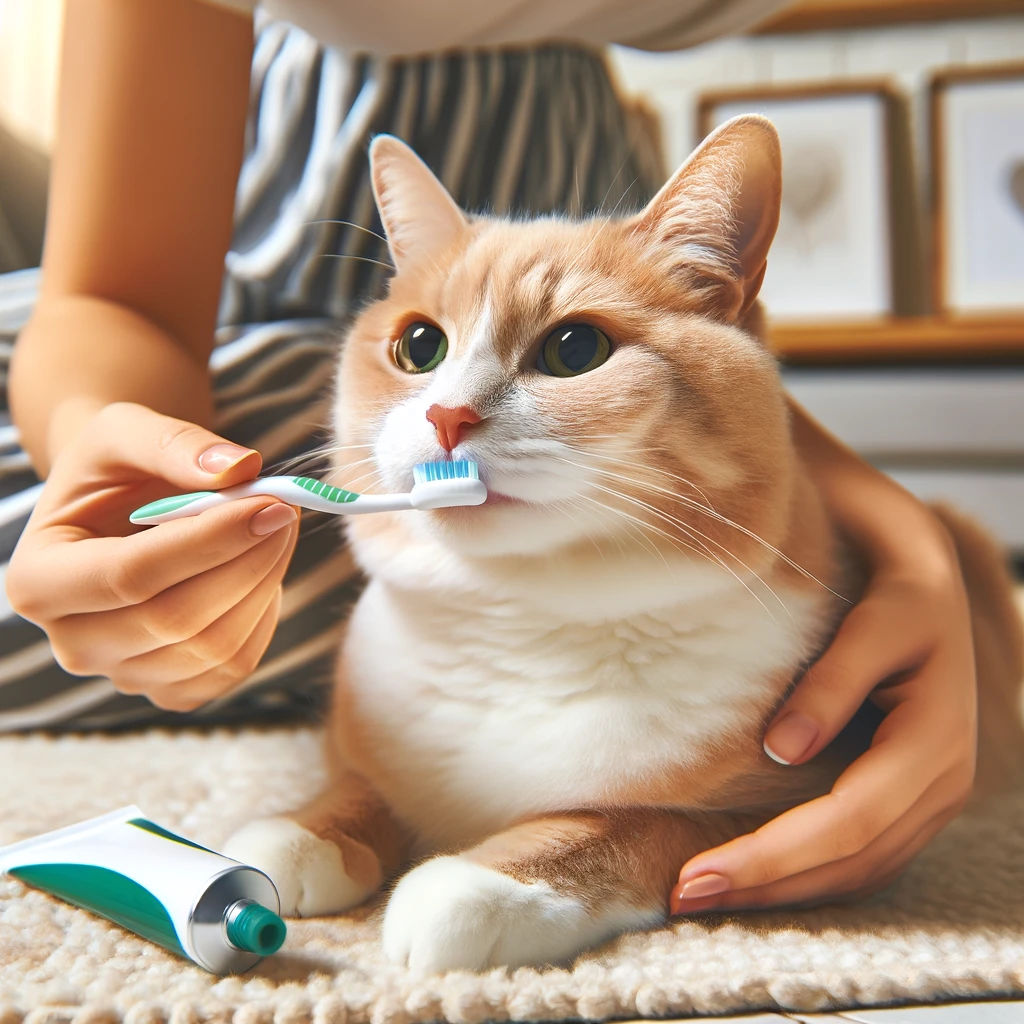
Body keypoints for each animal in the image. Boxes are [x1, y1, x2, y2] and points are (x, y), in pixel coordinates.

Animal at [224, 116, 1024, 970]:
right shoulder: (369, 746)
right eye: (419, 347)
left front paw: (477, 882)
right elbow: (360, 788)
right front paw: (297, 834)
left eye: (575, 350)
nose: (447, 416)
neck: (519, 627)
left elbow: (624, 824)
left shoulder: (786, 815)